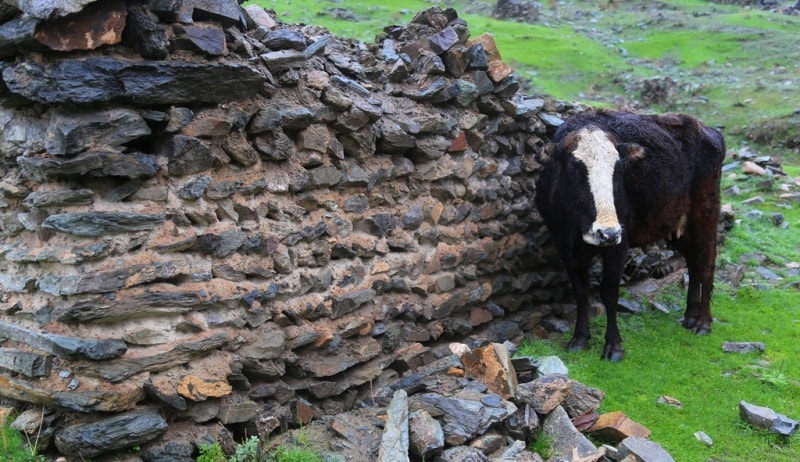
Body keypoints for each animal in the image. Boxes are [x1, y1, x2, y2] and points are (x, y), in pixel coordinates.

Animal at [536, 109, 724, 360]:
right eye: (575, 168)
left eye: (618, 168)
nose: (607, 233)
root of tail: (709, 130)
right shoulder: (565, 246)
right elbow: (580, 292)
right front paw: (579, 339)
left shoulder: (619, 244)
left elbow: (609, 292)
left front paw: (613, 347)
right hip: (677, 227)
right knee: (693, 263)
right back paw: (690, 317)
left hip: (705, 215)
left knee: (706, 265)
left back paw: (703, 323)